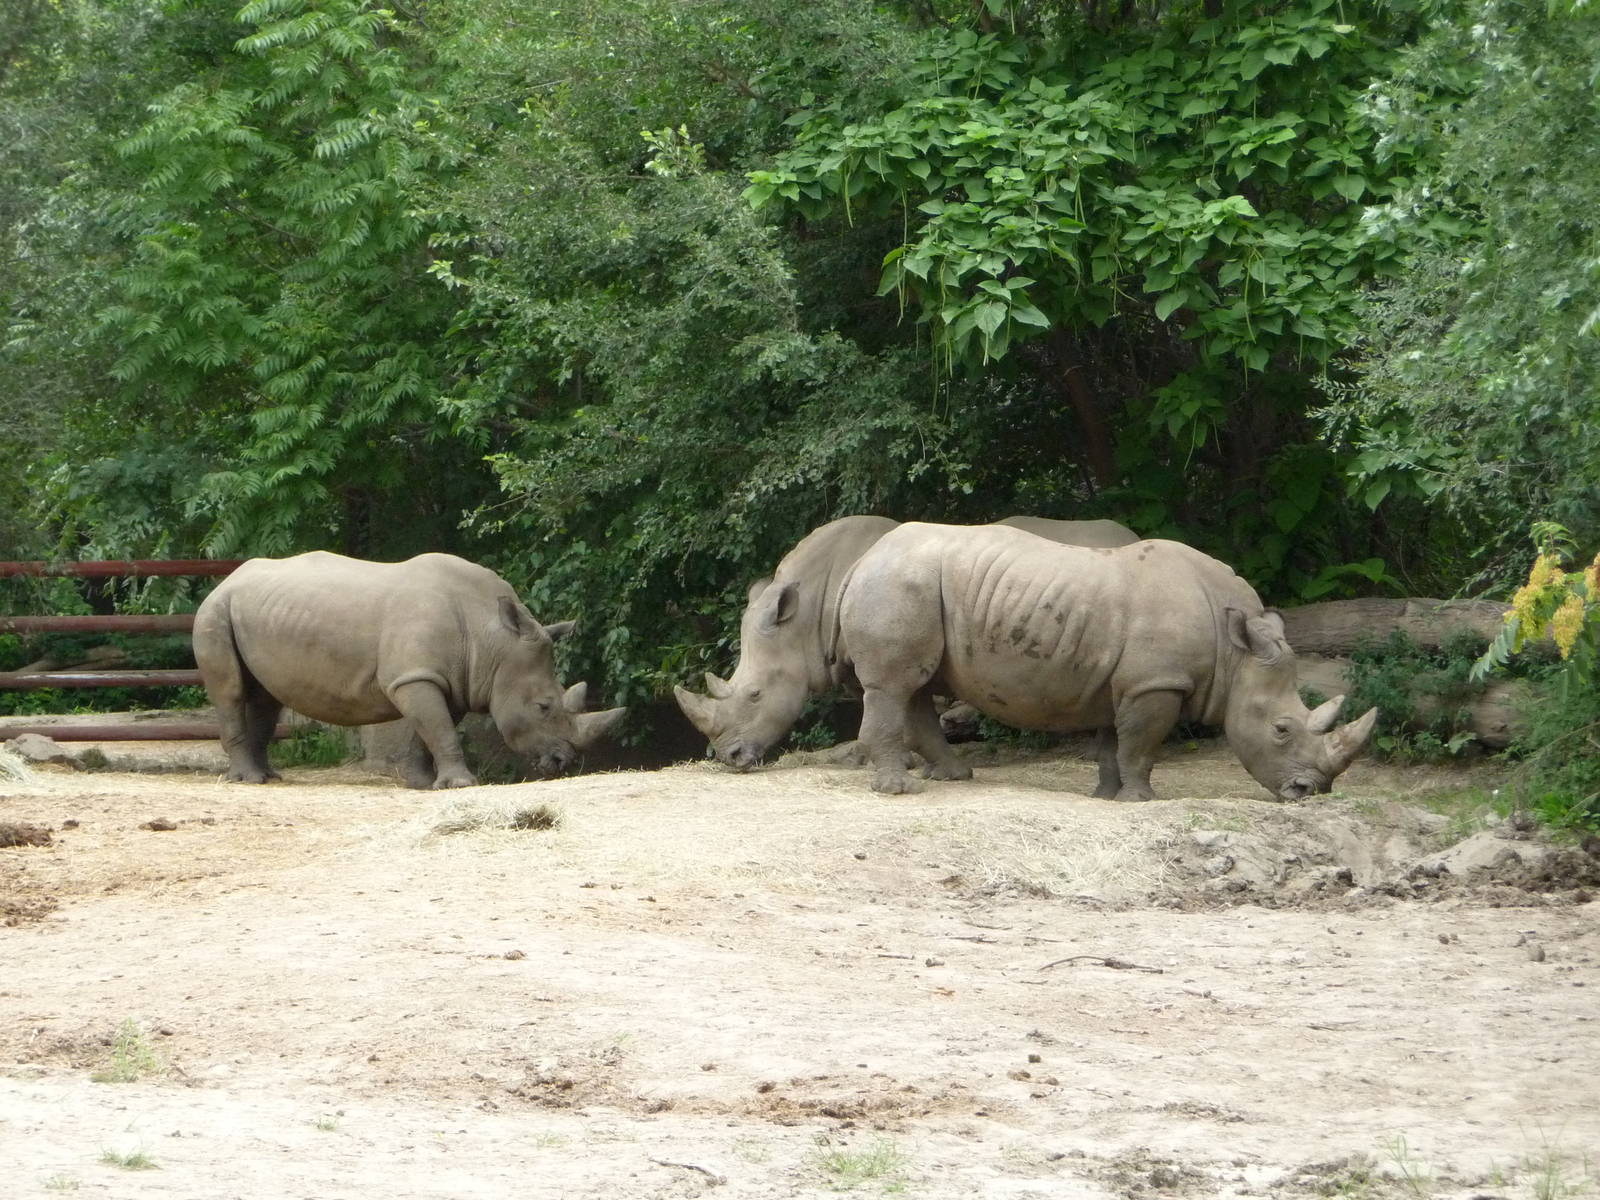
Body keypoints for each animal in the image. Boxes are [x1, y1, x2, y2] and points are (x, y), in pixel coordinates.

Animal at [193, 551, 625, 789]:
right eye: (543, 707)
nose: (563, 763)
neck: (491, 641)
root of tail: (227, 579)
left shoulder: (445, 678)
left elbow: (430, 729)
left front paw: (423, 783)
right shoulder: (416, 677)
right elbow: (439, 728)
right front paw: (461, 785)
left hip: (252, 612)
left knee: (266, 696)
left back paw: (270, 777)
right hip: (214, 612)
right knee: (231, 692)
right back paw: (248, 780)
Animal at [836, 523, 1376, 800]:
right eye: (1282, 730)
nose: (1312, 791)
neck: (1236, 652)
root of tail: (863, 558)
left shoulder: (1124, 682)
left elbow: (1113, 744)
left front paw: (1106, 797)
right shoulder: (1156, 682)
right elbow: (1141, 745)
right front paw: (1141, 800)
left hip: (910, 584)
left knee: (917, 687)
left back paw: (956, 777)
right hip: (899, 583)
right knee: (895, 685)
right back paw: (898, 790)